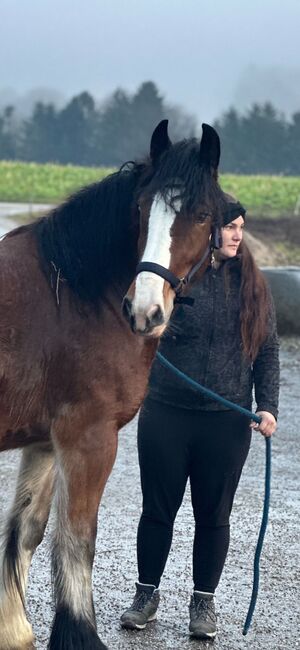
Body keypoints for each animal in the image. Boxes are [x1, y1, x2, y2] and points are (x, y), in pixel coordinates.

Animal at [0, 119, 225, 644]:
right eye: (142, 209)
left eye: (203, 214)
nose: (144, 311)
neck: (74, 296)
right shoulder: (89, 437)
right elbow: (78, 539)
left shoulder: (44, 441)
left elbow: (26, 531)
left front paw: (14, 632)